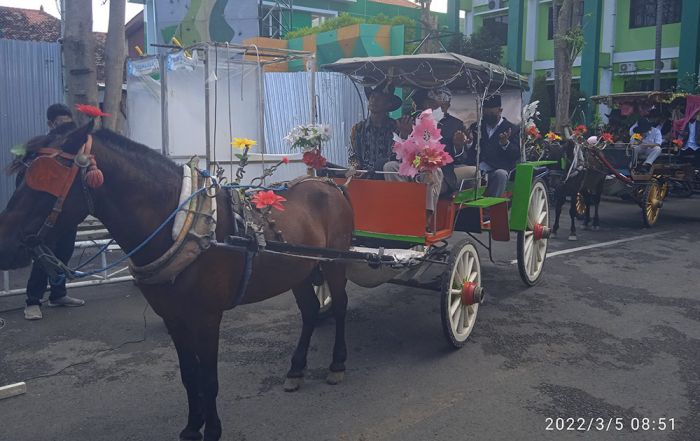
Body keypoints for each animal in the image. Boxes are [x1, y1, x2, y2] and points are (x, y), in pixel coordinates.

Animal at [0, 122, 352, 440]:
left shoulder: (207, 317)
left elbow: (209, 378)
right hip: (299, 271)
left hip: (334, 265)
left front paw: (212, 431)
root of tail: (329, 184)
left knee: (340, 306)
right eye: (20, 177)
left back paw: (337, 365)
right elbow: (189, 375)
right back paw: (296, 369)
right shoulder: (173, 316)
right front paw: (192, 427)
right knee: (310, 311)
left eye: (47, 178)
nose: (5, 243)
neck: (182, 225)